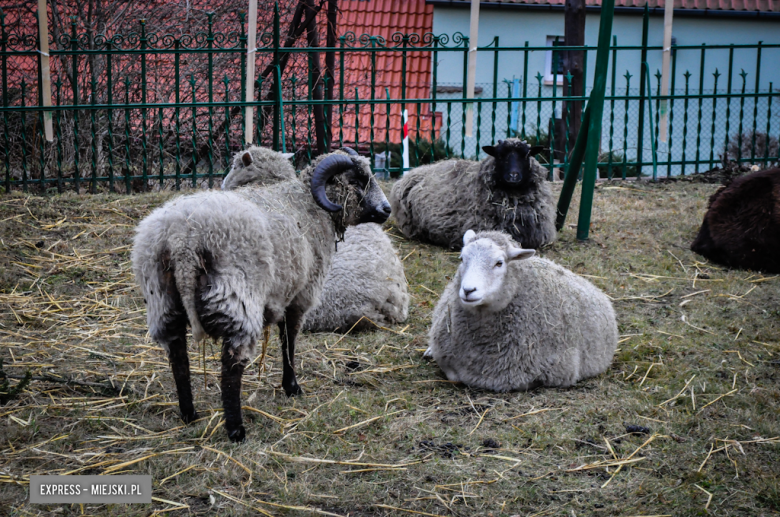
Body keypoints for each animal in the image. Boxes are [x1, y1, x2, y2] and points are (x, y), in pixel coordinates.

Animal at [133, 149, 396, 440]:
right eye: (358, 179)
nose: (387, 210)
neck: (309, 204)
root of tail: (184, 241)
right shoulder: (302, 291)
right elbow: (289, 338)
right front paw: (292, 386)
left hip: (162, 298)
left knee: (178, 355)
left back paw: (189, 414)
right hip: (236, 297)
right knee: (232, 363)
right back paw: (236, 429)